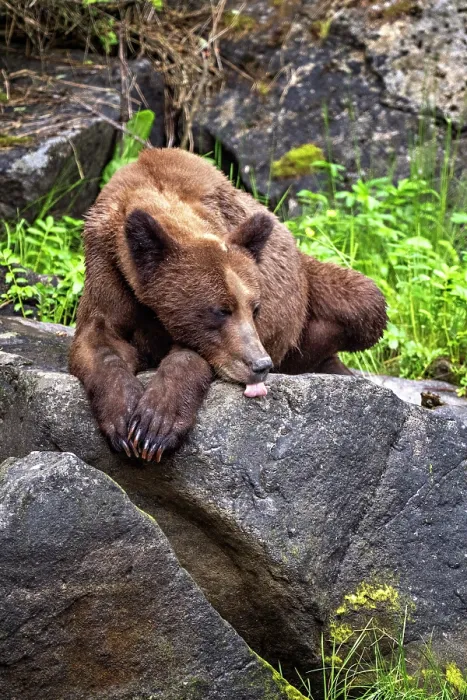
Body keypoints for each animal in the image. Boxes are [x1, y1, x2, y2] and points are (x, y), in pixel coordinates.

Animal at [69, 148, 387, 462]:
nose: (261, 364)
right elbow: (99, 339)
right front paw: (124, 418)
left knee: (367, 302)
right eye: (220, 310)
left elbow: (192, 355)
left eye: (255, 308)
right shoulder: (108, 267)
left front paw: (156, 423)